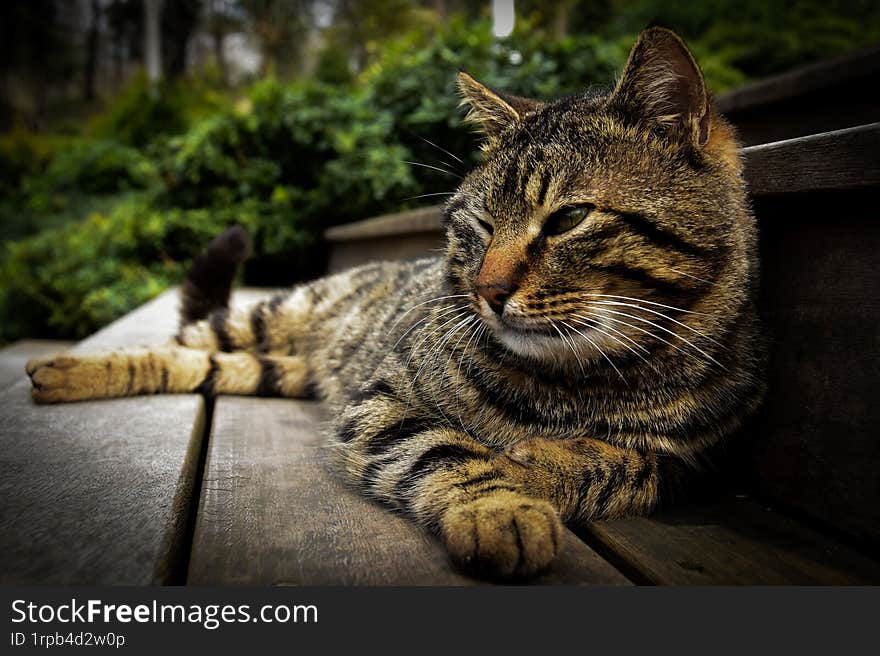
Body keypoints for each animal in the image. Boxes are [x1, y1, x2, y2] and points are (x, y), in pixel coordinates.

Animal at [27, 26, 764, 580]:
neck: (577, 384)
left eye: (568, 219)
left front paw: (548, 465)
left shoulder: (702, 462)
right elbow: (447, 450)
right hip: (273, 318)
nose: (487, 291)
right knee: (180, 344)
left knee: (204, 367)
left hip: (275, 371)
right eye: (479, 225)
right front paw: (502, 508)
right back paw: (65, 370)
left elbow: (631, 466)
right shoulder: (382, 401)